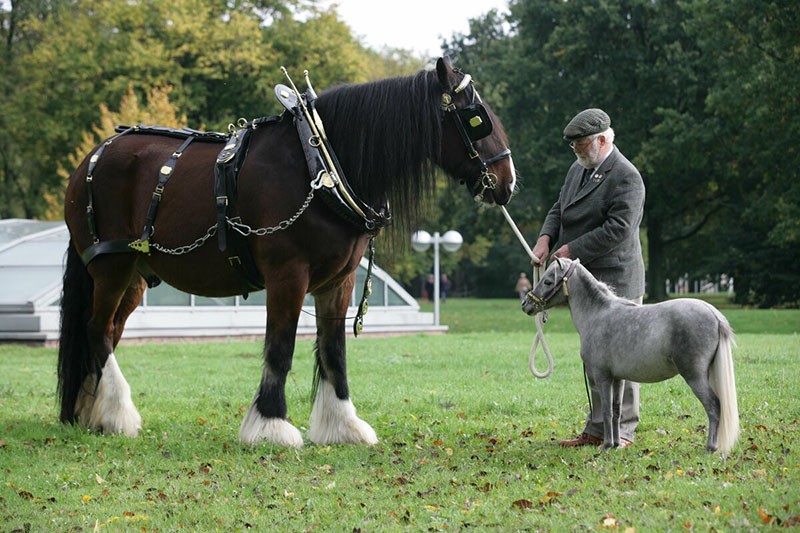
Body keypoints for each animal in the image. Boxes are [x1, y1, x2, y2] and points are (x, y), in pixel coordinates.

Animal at [57, 56, 520, 446]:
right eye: (476, 118)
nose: (508, 180)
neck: (322, 166)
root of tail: (90, 159)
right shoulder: (287, 275)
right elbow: (280, 347)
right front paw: (271, 425)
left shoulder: (339, 281)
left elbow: (334, 350)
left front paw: (343, 424)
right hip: (112, 267)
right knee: (98, 330)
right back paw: (118, 415)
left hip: (134, 276)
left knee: (107, 331)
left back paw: (92, 412)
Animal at [520, 258, 740, 454]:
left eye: (548, 281)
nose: (525, 304)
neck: (597, 314)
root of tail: (713, 314)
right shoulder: (618, 378)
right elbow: (617, 412)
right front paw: (616, 445)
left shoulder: (602, 377)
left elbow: (606, 411)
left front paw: (606, 446)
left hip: (694, 376)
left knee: (714, 406)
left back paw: (710, 448)